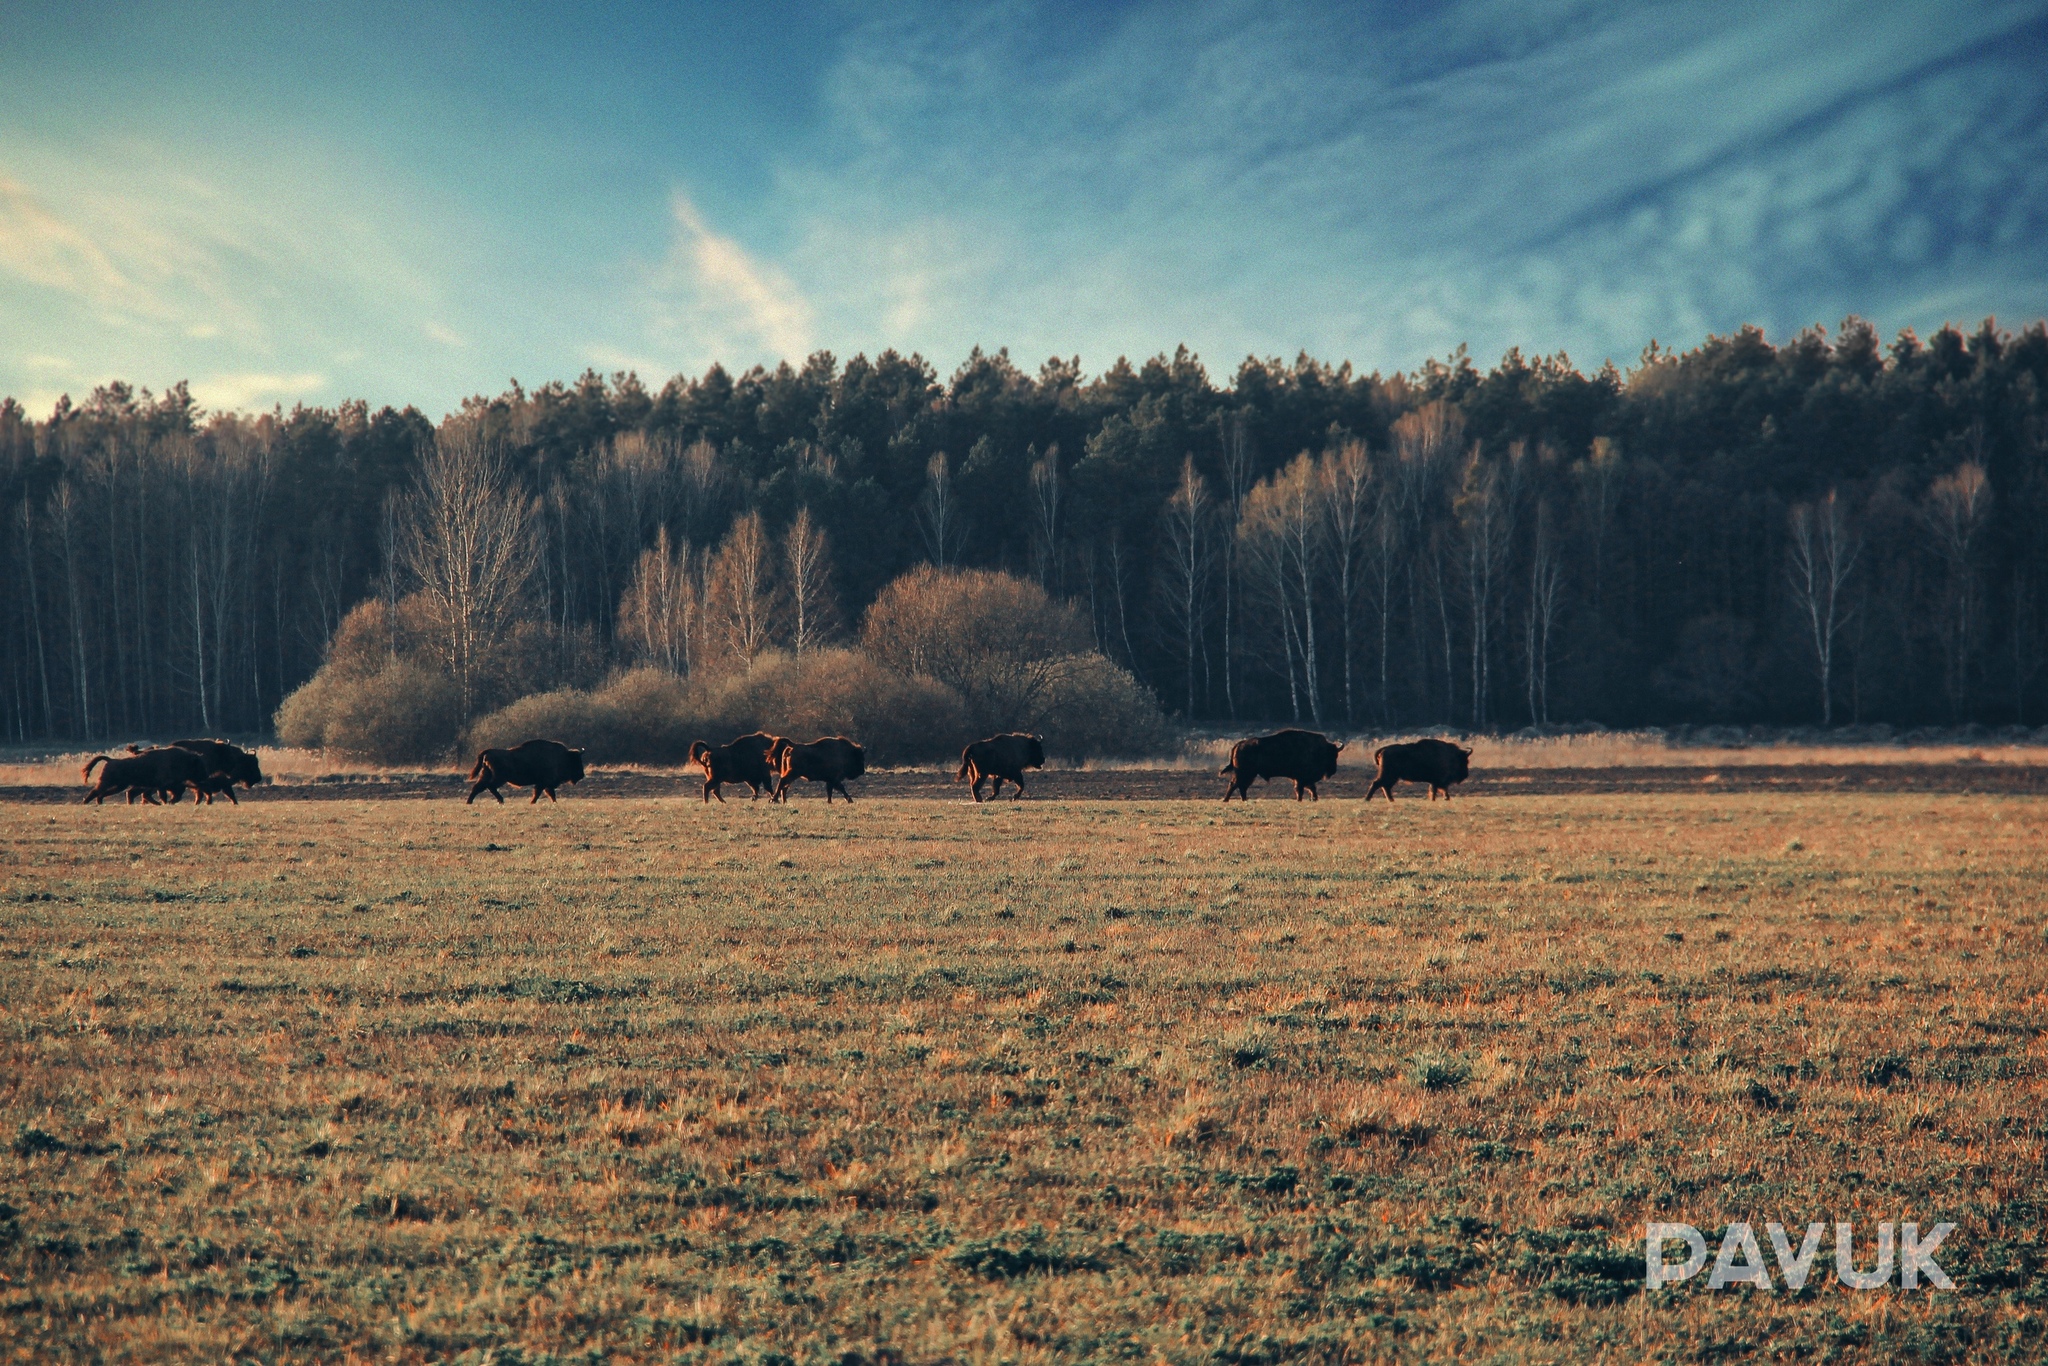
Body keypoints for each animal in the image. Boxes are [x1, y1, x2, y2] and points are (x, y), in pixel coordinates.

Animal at [1212, 724, 1343, 802]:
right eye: (1332, 755)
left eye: (1336, 755)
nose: (1334, 770)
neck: (1318, 749)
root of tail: (1239, 744)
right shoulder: (1301, 778)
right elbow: (1301, 789)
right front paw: (1300, 799)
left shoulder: (1302, 778)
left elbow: (1310, 787)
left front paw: (1313, 798)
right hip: (1244, 773)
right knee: (1235, 784)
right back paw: (1226, 800)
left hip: (1250, 774)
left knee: (1241, 786)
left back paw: (1244, 800)